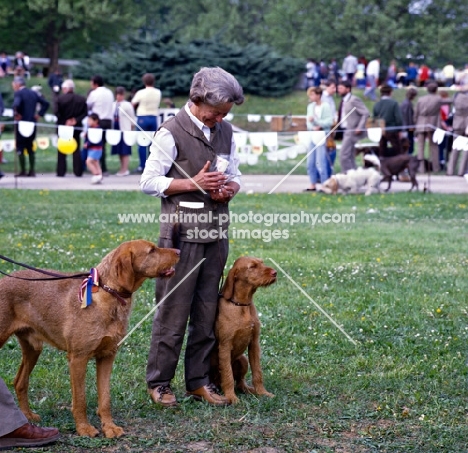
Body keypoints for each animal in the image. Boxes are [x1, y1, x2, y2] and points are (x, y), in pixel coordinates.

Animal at [0, 240, 179, 438]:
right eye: (151, 250)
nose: (179, 251)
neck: (108, 293)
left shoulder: (107, 356)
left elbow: (105, 398)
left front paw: (109, 427)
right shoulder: (78, 358)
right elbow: (80, 399)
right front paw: (84, 428)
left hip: (33, 348)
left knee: (20, 382)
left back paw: (28, 417)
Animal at [211, 256, 278, 404]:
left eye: (262, 263)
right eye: (252, 266)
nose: (275, 273)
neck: (242, 305)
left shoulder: (254, 344)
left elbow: (257, 372)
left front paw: (262, 392)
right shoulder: (224, 346)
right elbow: (228, 375)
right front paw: (231, 397)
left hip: (242, 360)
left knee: (240, 382)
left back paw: (250, 390)